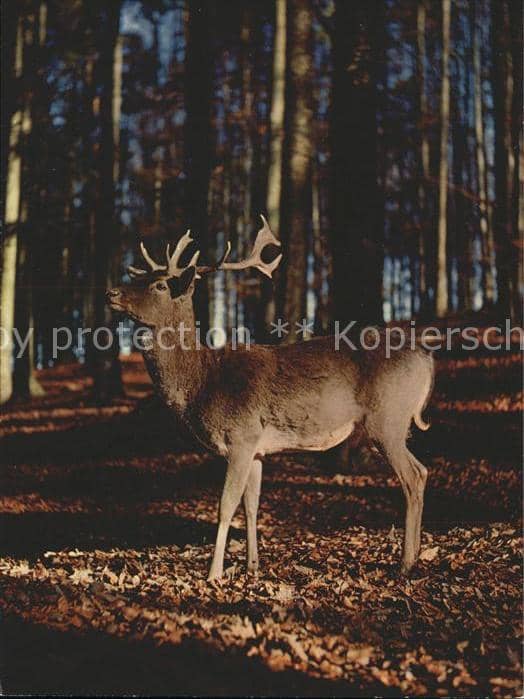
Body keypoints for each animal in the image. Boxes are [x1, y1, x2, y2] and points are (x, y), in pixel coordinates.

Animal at [107, 216, 434, 581]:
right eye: (139, 277)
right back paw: (413, 557)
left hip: (386, 419)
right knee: (422, 471)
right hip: (395, 423)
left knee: (413, 476)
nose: (112, 292)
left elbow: (225, 506)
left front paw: (214, 573)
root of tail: (426, 358)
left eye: (161, 285)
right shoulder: (258, 448)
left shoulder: (240, 436)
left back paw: (405, 562)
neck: (203, 382)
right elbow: (251, 505)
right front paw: (252, 566)